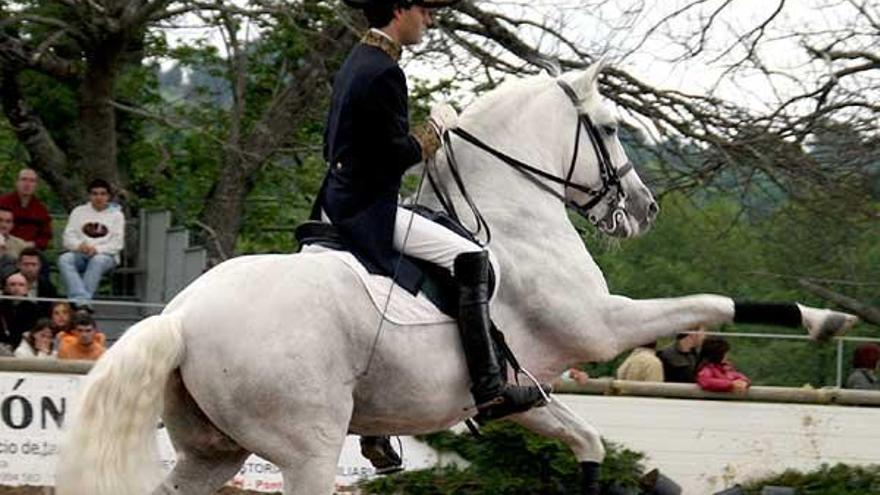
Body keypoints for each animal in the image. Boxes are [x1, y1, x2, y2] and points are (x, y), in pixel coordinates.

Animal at [58, 63, 856, 495]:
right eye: (610, 126)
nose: (644, 209)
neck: (512, 210)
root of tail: (179, 317)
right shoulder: (601, 325)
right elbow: (705, 301)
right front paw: (823, 319)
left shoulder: (521, 393)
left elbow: (588, 443)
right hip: (304, 447)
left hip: (212, 451)